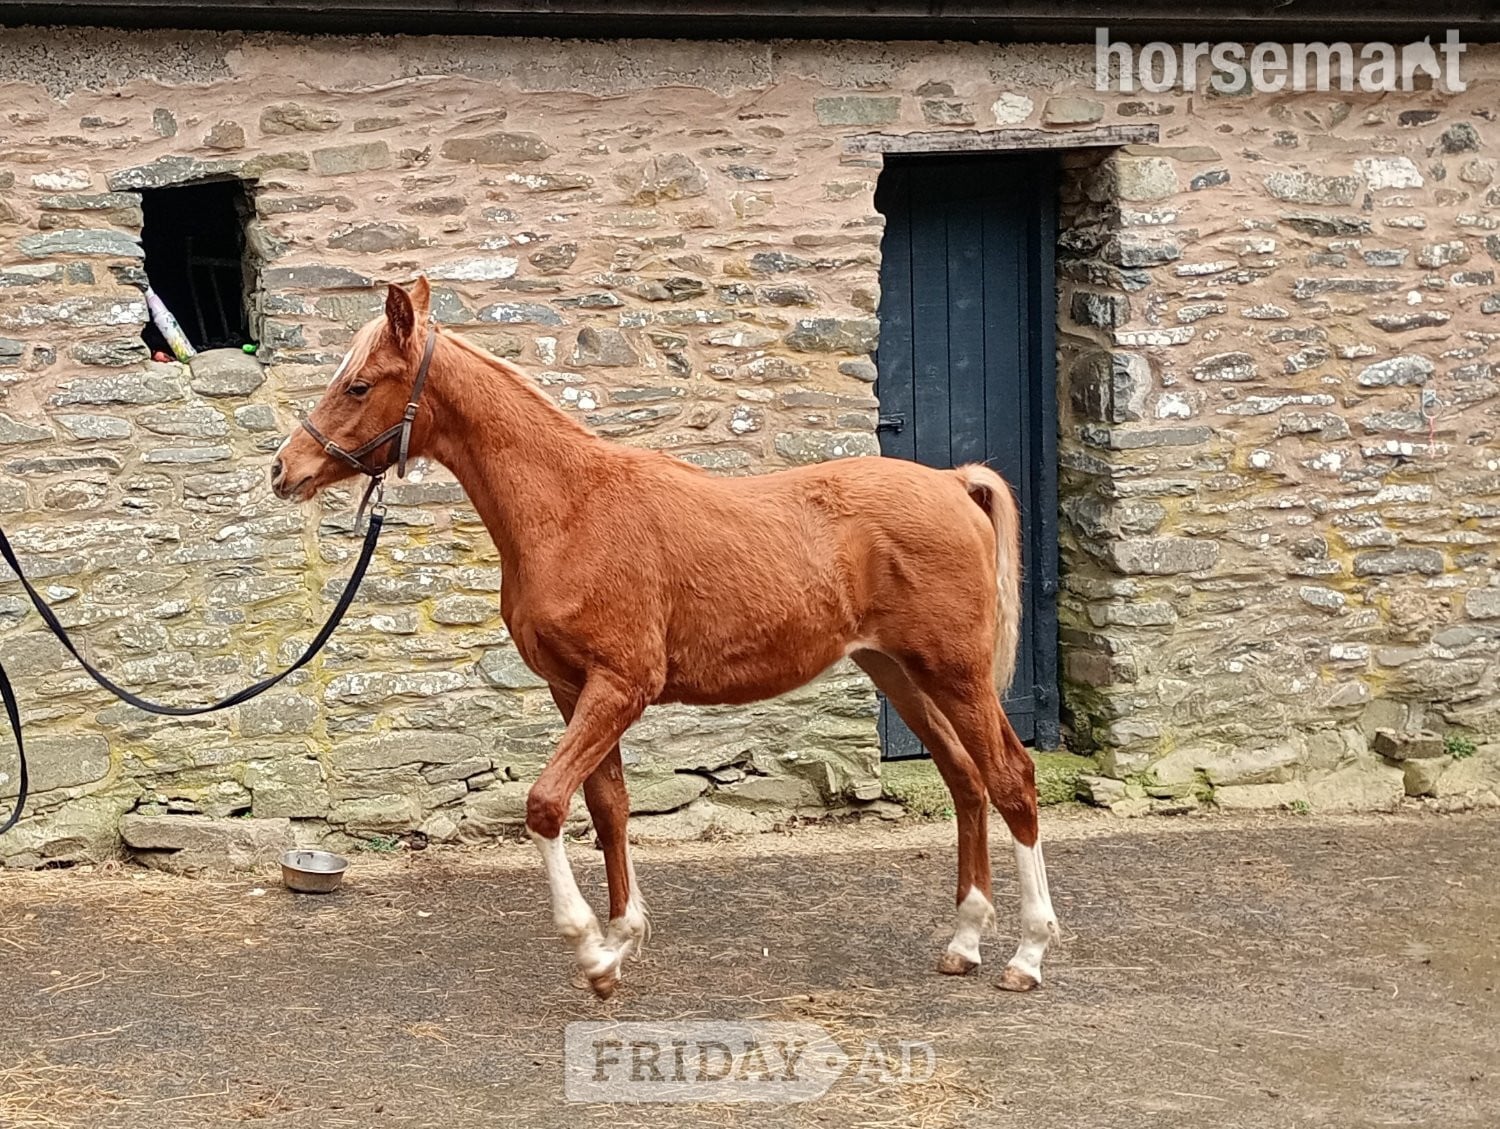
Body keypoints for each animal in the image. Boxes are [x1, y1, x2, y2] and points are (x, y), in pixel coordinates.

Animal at [272, 278, 1060, 998]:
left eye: (359, 384)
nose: (285, 470)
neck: (571, 507)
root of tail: (954, 483)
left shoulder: (622, 685)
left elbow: (546, 803)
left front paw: (589, 949)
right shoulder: (574, 690)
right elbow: (608, 807)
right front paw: (621, 940)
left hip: (955, 673)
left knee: (1011, 779)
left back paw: (1026, 954)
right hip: (899, 671)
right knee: (965, 779)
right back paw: (963, 941)